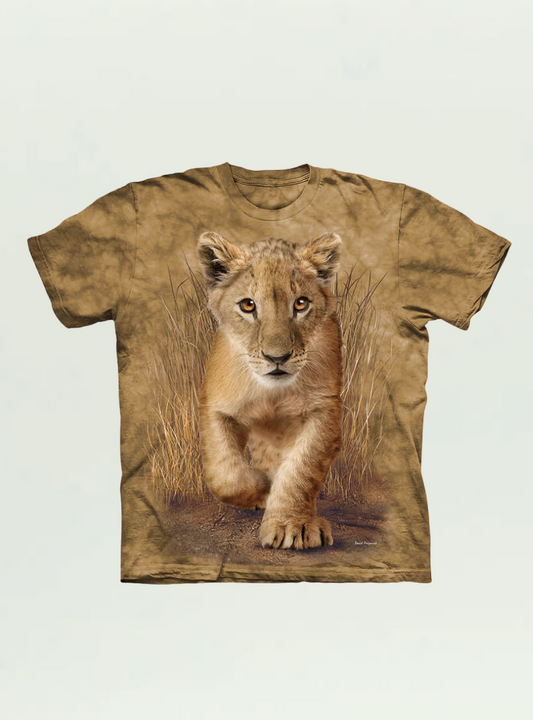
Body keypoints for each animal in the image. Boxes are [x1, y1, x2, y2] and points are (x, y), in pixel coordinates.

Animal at [196, 231, 343, 550]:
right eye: (248, 305)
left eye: (301, 304)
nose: (278, 358)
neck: (272, 393)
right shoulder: (216, 406)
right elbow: (225, 473)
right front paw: (262, 489)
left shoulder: (324, 409)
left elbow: (301, 469)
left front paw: (293, 525)